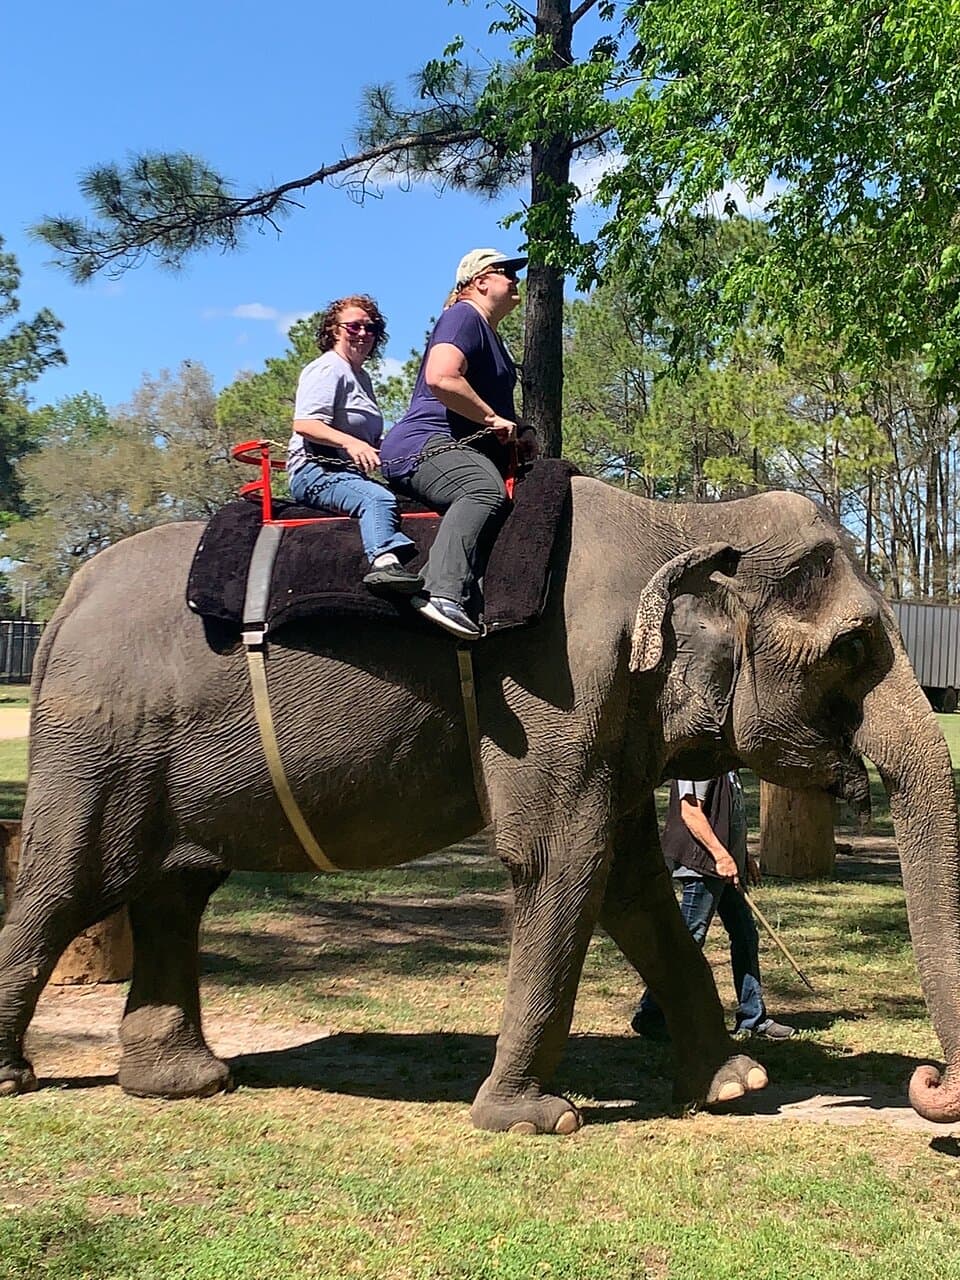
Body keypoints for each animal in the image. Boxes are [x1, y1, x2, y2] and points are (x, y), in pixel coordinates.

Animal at [1, 477, 958, 1133]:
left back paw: (187, 1083)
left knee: (174, 889)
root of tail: (62, 604)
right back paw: (20, 1080)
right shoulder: (552, 692)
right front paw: (537, 1121)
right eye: (855, 646)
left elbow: (633, 882)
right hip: (100, 747)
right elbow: (562, 863)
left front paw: (733, 1086)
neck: (683, 520)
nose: (929, 1085)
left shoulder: (611, 716)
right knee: (70, 888)